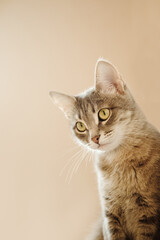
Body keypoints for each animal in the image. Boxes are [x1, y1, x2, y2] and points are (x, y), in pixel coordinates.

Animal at [49, 58, 160, 240]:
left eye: (103, 114)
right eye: (80, 126)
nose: (94, 138)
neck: (119, 163)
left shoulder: (149, 212)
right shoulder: (110, 215)